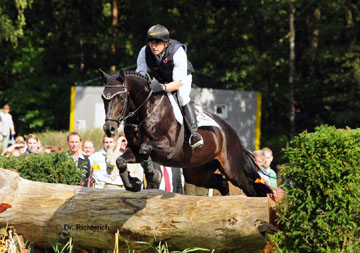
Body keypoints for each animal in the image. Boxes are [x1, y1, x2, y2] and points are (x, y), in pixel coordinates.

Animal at [100, 68, 272, 197]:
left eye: (121, 97)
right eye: (103, 98)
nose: (109, 129)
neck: (146, 110)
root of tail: (232, 132)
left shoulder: (167, 148)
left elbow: (145, 148)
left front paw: (152, 175)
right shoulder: (133, 150)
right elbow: (121, 160)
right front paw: (132, 183)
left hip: (231, 169)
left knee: (250, 186)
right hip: (198, 171)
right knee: (221, 182)